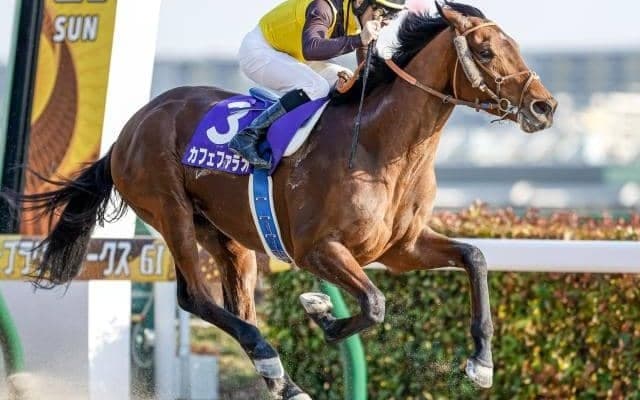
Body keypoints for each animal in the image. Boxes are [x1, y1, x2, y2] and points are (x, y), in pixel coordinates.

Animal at [15, 2, 556, 399]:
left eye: (513, 45)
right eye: (484, 51)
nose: (544, 106)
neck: (381, 146)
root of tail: (130, 128)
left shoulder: (401, 249)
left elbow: (475, 256)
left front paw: (481, 363)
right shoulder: (317, 248)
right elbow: (375, 304)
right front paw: (321, 312)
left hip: (225, 234)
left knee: (238, 306)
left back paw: (284, 380)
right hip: (170, 211)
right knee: (195, 297)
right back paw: (270, 359)